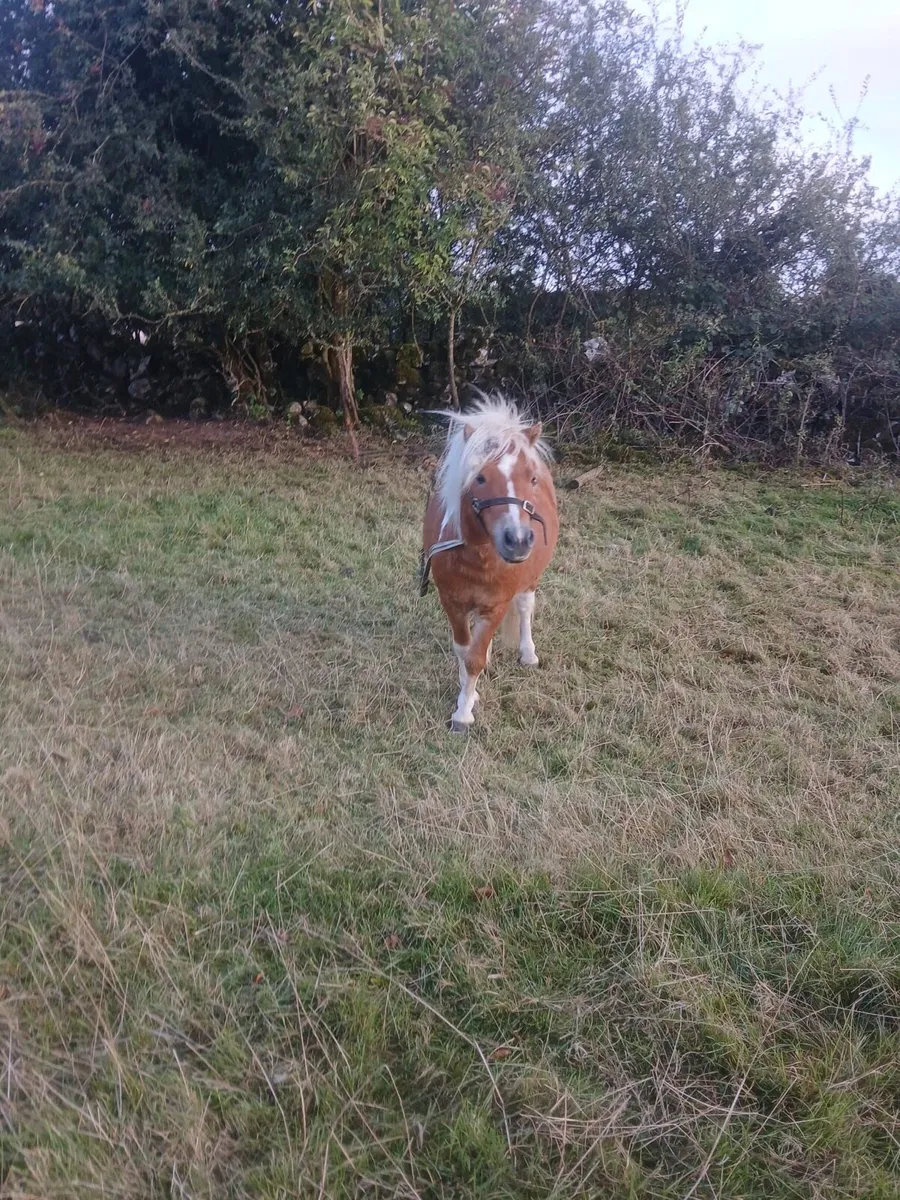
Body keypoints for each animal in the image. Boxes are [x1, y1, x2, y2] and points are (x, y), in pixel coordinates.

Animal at [421, 394, 559, 733]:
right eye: (480, 477)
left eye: (532, 479)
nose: (518, 540)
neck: (478, 557)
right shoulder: (452, 601)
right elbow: (464, 649)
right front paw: (469, 694)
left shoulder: (496, 604)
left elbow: (475, 657)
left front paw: (463, 713)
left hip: (529, 583)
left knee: (525, 608)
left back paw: (528, 654)